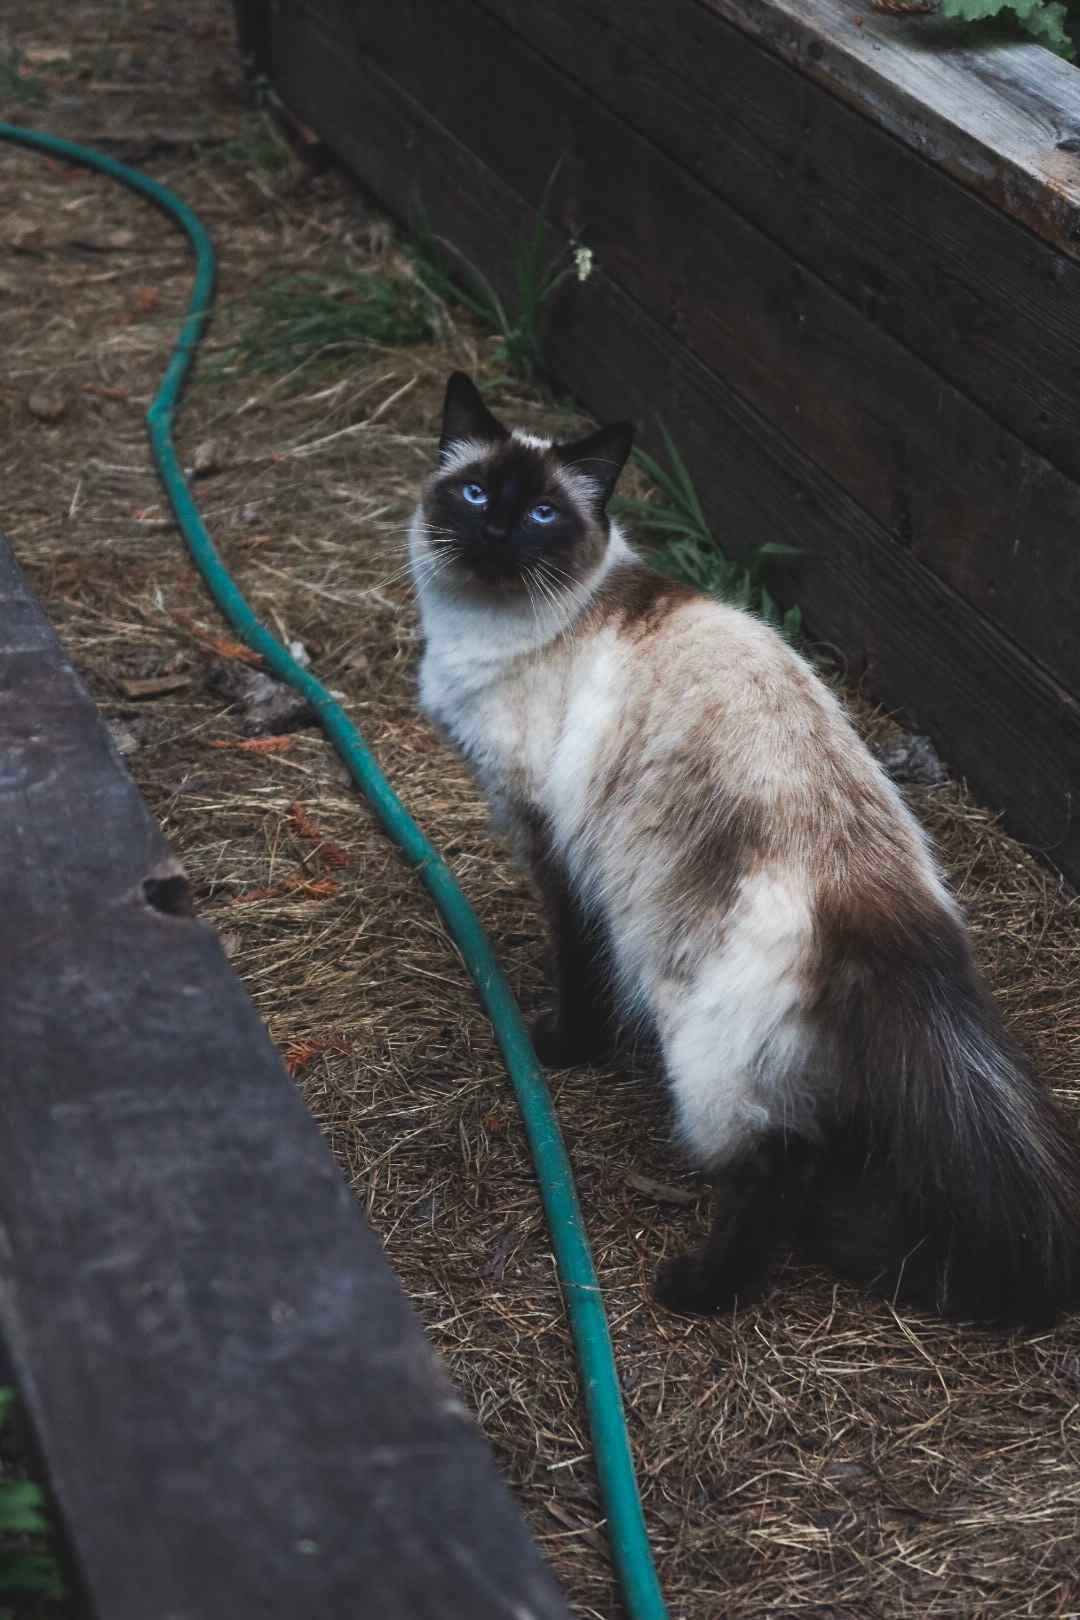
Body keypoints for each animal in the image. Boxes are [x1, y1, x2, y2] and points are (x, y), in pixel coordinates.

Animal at [408, 370, 1080, 1328]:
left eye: (541, 514)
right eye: (473, 494)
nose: (496, 532)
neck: (492, 630)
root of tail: (871, 895)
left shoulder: (551, 845)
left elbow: (576, 964)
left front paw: (560, 1046)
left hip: (705, 1054)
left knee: (773, 1167)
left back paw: (695, 1289)